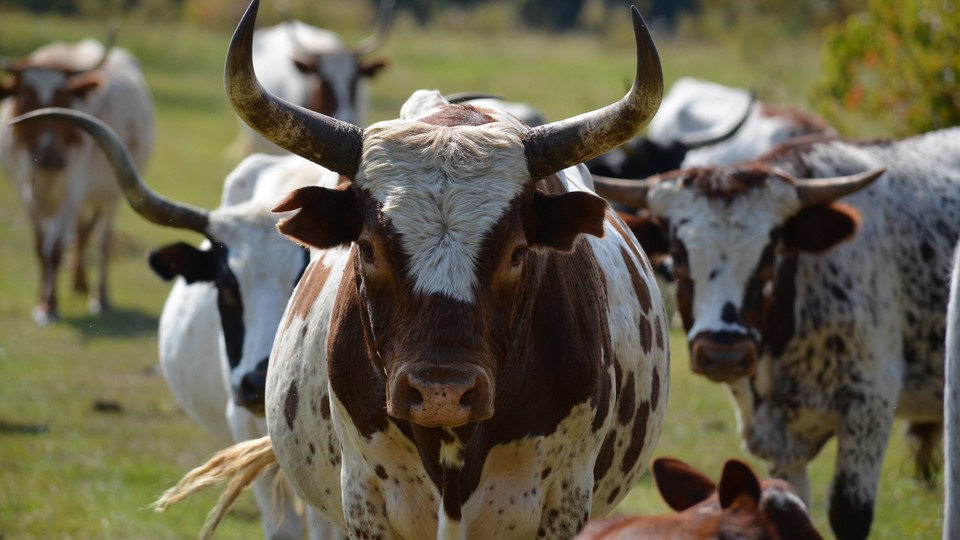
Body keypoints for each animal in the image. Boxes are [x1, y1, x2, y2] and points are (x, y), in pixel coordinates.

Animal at [0, 26, 153, 324]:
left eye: (65, 100)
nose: (51, 158)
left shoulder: (72, 191)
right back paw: (78, 282)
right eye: (25, 99)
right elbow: (40, 247)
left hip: (112, 194)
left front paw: (49, 307)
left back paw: (99, 297)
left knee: (102, 241)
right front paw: (40, 300)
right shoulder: (25, 191)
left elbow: (54, 249)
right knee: (82, 231)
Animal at [592, 127, 960, 540]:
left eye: (770, 251)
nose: (724, 353)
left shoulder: (870, 403)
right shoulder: (781, 445)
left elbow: (849, 515)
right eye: (678, 254)